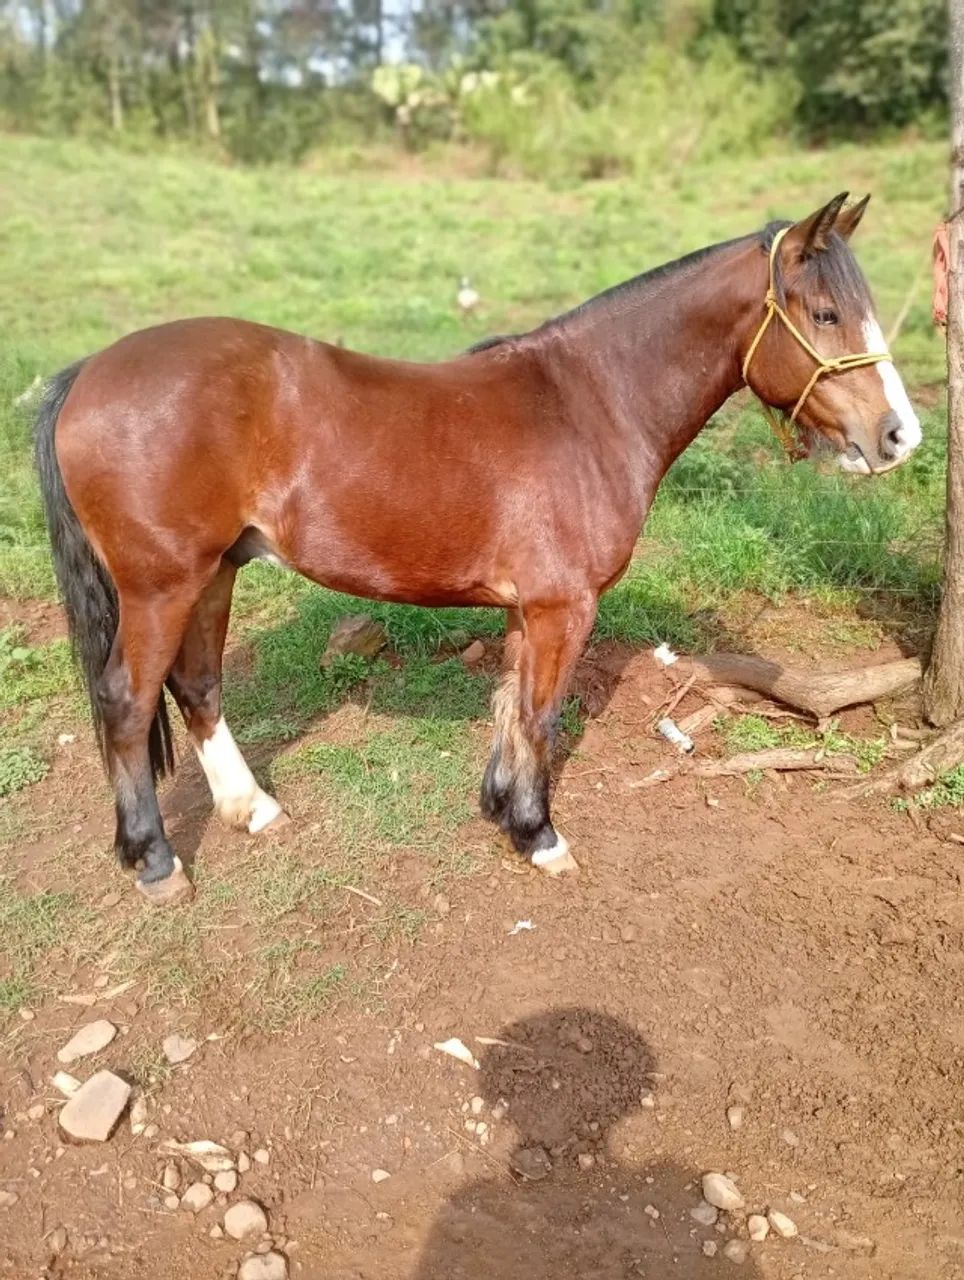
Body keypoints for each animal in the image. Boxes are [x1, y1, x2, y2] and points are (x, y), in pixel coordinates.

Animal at [34, 192, 921, 905]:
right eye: (824, 313)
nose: (898, 436)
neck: (589, 404)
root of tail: (86, 373)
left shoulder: (532, 607)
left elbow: (511, 704)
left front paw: (502, 809)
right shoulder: (565, 606)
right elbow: (540, 712)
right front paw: (539, 834)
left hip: (214, 571)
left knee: (197, 684)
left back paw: (251, 809)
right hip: (162, 585)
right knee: (125, 700)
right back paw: (155, 862)